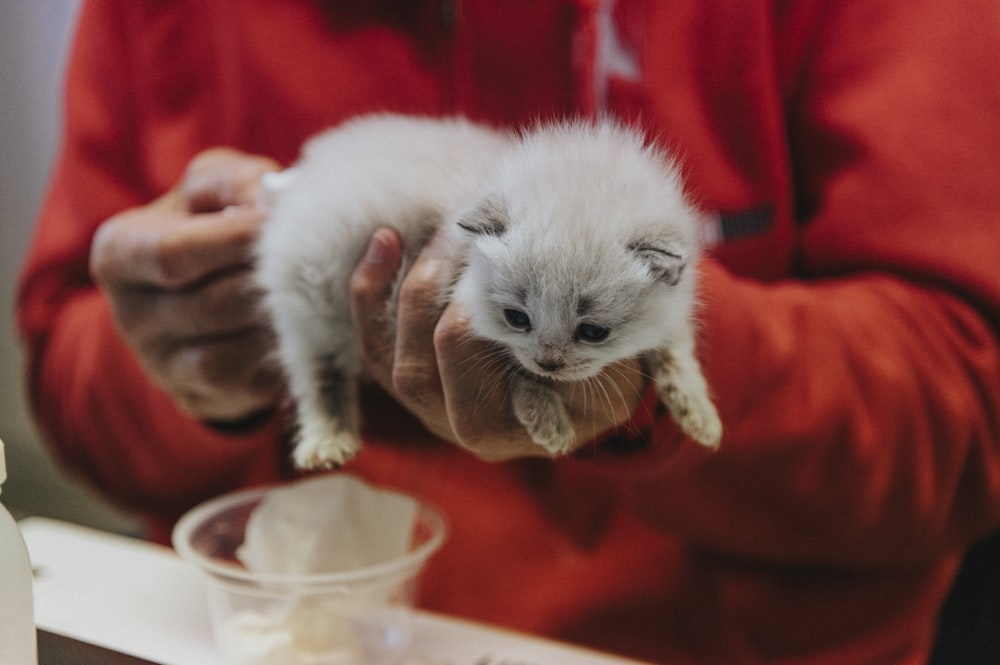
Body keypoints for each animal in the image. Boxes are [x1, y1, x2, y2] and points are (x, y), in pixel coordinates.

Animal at [256, 113, 720, 466]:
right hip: (315, 301)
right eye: (518, 319)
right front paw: (549, 424)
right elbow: (515, 369)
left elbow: (676, 353)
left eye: (593, 331)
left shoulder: (676, 302)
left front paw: (700, 416)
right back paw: (327, 443)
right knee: (316, 370)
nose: (550, 363)